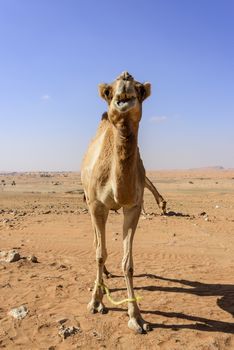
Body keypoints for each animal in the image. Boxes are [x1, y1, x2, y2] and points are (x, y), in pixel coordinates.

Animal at [81, 72, 154, 334]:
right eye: (108, 92)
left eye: (140, 89)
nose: (125, 77)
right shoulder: (96, 205)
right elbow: (99, 254)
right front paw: (95, 301)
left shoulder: (134, 206)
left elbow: (128, 263)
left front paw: (136, 317)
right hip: (88, 202)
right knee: (96, 243)